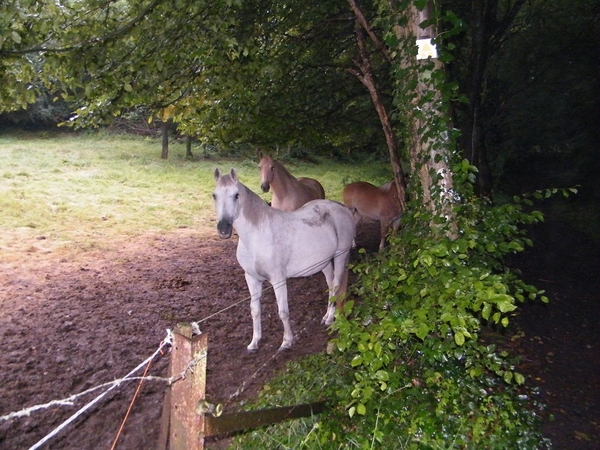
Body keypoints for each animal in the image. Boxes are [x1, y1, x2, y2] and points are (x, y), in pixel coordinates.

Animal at [212, 169, 356, 352]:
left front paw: (287, 341)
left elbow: (283, 312)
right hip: (323, 262)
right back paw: (326, 316)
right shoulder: (252, 279)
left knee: (336, 285)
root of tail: (343, 208)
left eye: (236, 195)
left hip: (340, 255)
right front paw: (254, 342)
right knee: (330, 285)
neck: (257, 236)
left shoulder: (278, 280)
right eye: (214, 195)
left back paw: (330, 319)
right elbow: (255, 310)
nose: (223, 229)